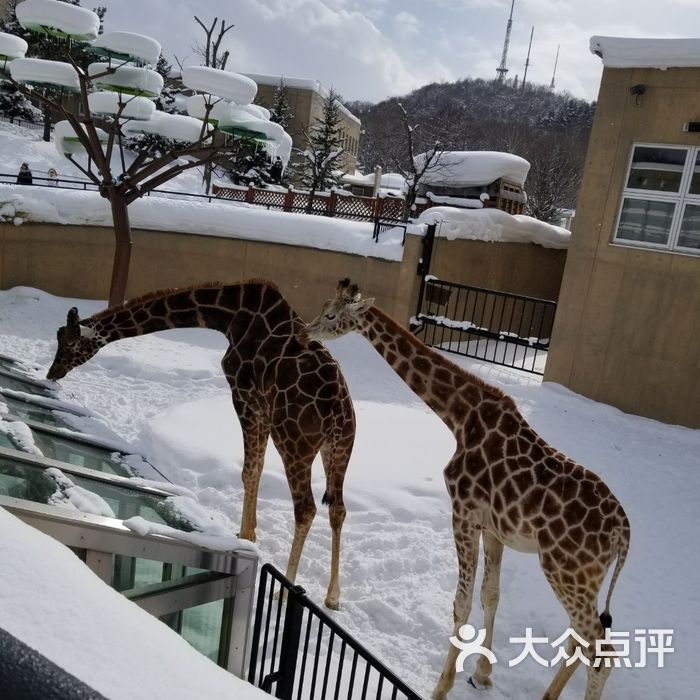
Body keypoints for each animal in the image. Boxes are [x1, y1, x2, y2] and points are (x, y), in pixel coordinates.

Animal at [45, 282, 356, 608]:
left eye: (69, 344)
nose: (52, 372)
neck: (229, 314)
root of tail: (338, 409)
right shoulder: (259, 404)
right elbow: (255, 468)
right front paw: (248, 533)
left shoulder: (244, 394)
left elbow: (249, 470)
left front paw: (246, 536)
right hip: (339, 447)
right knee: (338, 509)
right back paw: (333, 596)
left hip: (294, 441)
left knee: (306, 508)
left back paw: (285, 590)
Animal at [304, 278, 632, 700]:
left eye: (331, 315)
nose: (307, 330)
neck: (460, 418)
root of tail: (624, 532)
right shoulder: (494, 529)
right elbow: (490, 595)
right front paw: (482, 673)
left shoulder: (463, 512)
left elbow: (461, 604)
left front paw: (441, 687)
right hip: (584, 579)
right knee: (583, 636)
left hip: (565, 570)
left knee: (601, 651)